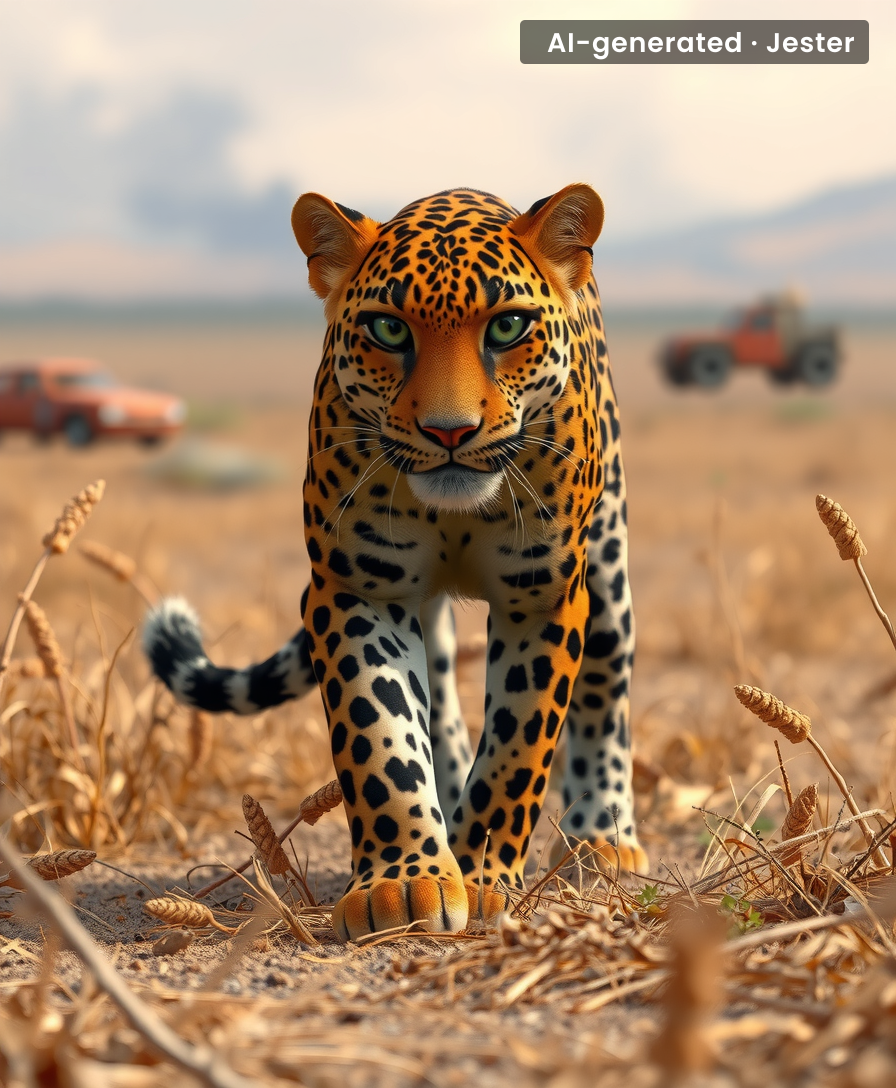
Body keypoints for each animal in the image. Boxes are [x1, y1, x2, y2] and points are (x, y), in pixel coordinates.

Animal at [144, 183, 648, 940]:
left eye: (507, 328)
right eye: (387, 330)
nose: (449, 432)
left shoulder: (542, 596)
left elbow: (518, 749)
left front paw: (482, 876)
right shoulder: (357, 589)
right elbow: (380, 736)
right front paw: (408, 880)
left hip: (607, 561)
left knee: (605, 683)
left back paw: (602, 837)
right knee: (437, 696)